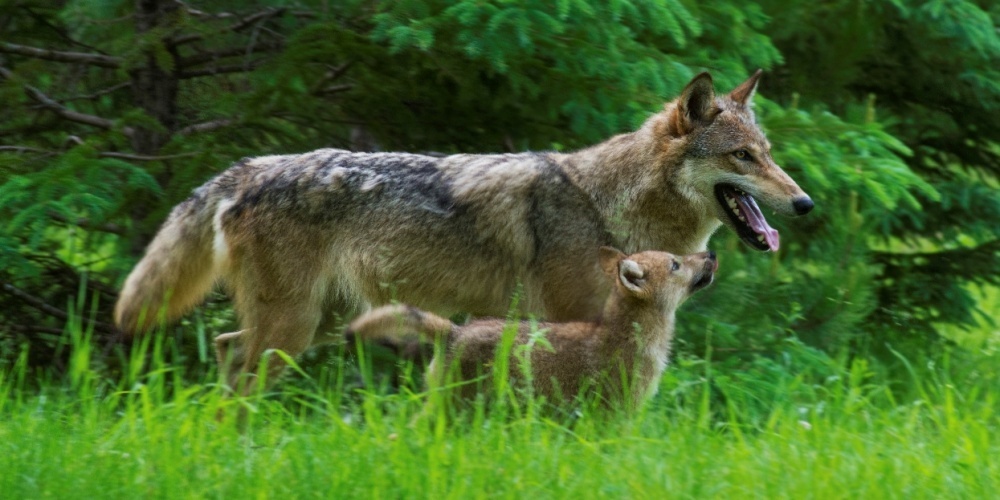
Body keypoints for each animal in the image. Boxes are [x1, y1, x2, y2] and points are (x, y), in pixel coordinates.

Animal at [115, 70, 812, 394]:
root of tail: (250, 167)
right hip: (291, 330)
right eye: (742, 157)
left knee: (225, 347)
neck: (609, 205)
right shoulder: (574, 326)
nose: (804, 202)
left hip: (308, 325)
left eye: (768, 153)